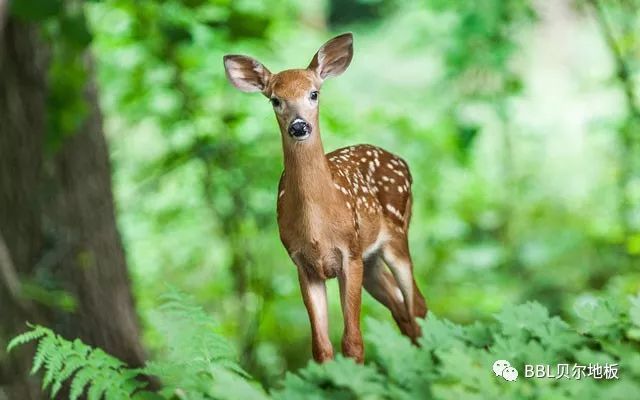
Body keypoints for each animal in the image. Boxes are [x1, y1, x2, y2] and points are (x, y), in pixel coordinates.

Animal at [222, 32, 428, 362]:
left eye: (314, 93)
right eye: (275, 100)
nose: (299, 126)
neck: (318, 226)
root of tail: (402, 161)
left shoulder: (349, 254)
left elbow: (353, 342)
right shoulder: (302, 264)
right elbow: (321, 346)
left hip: (396, 235)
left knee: (417, 305)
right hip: (371, 260)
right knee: (401, 309)